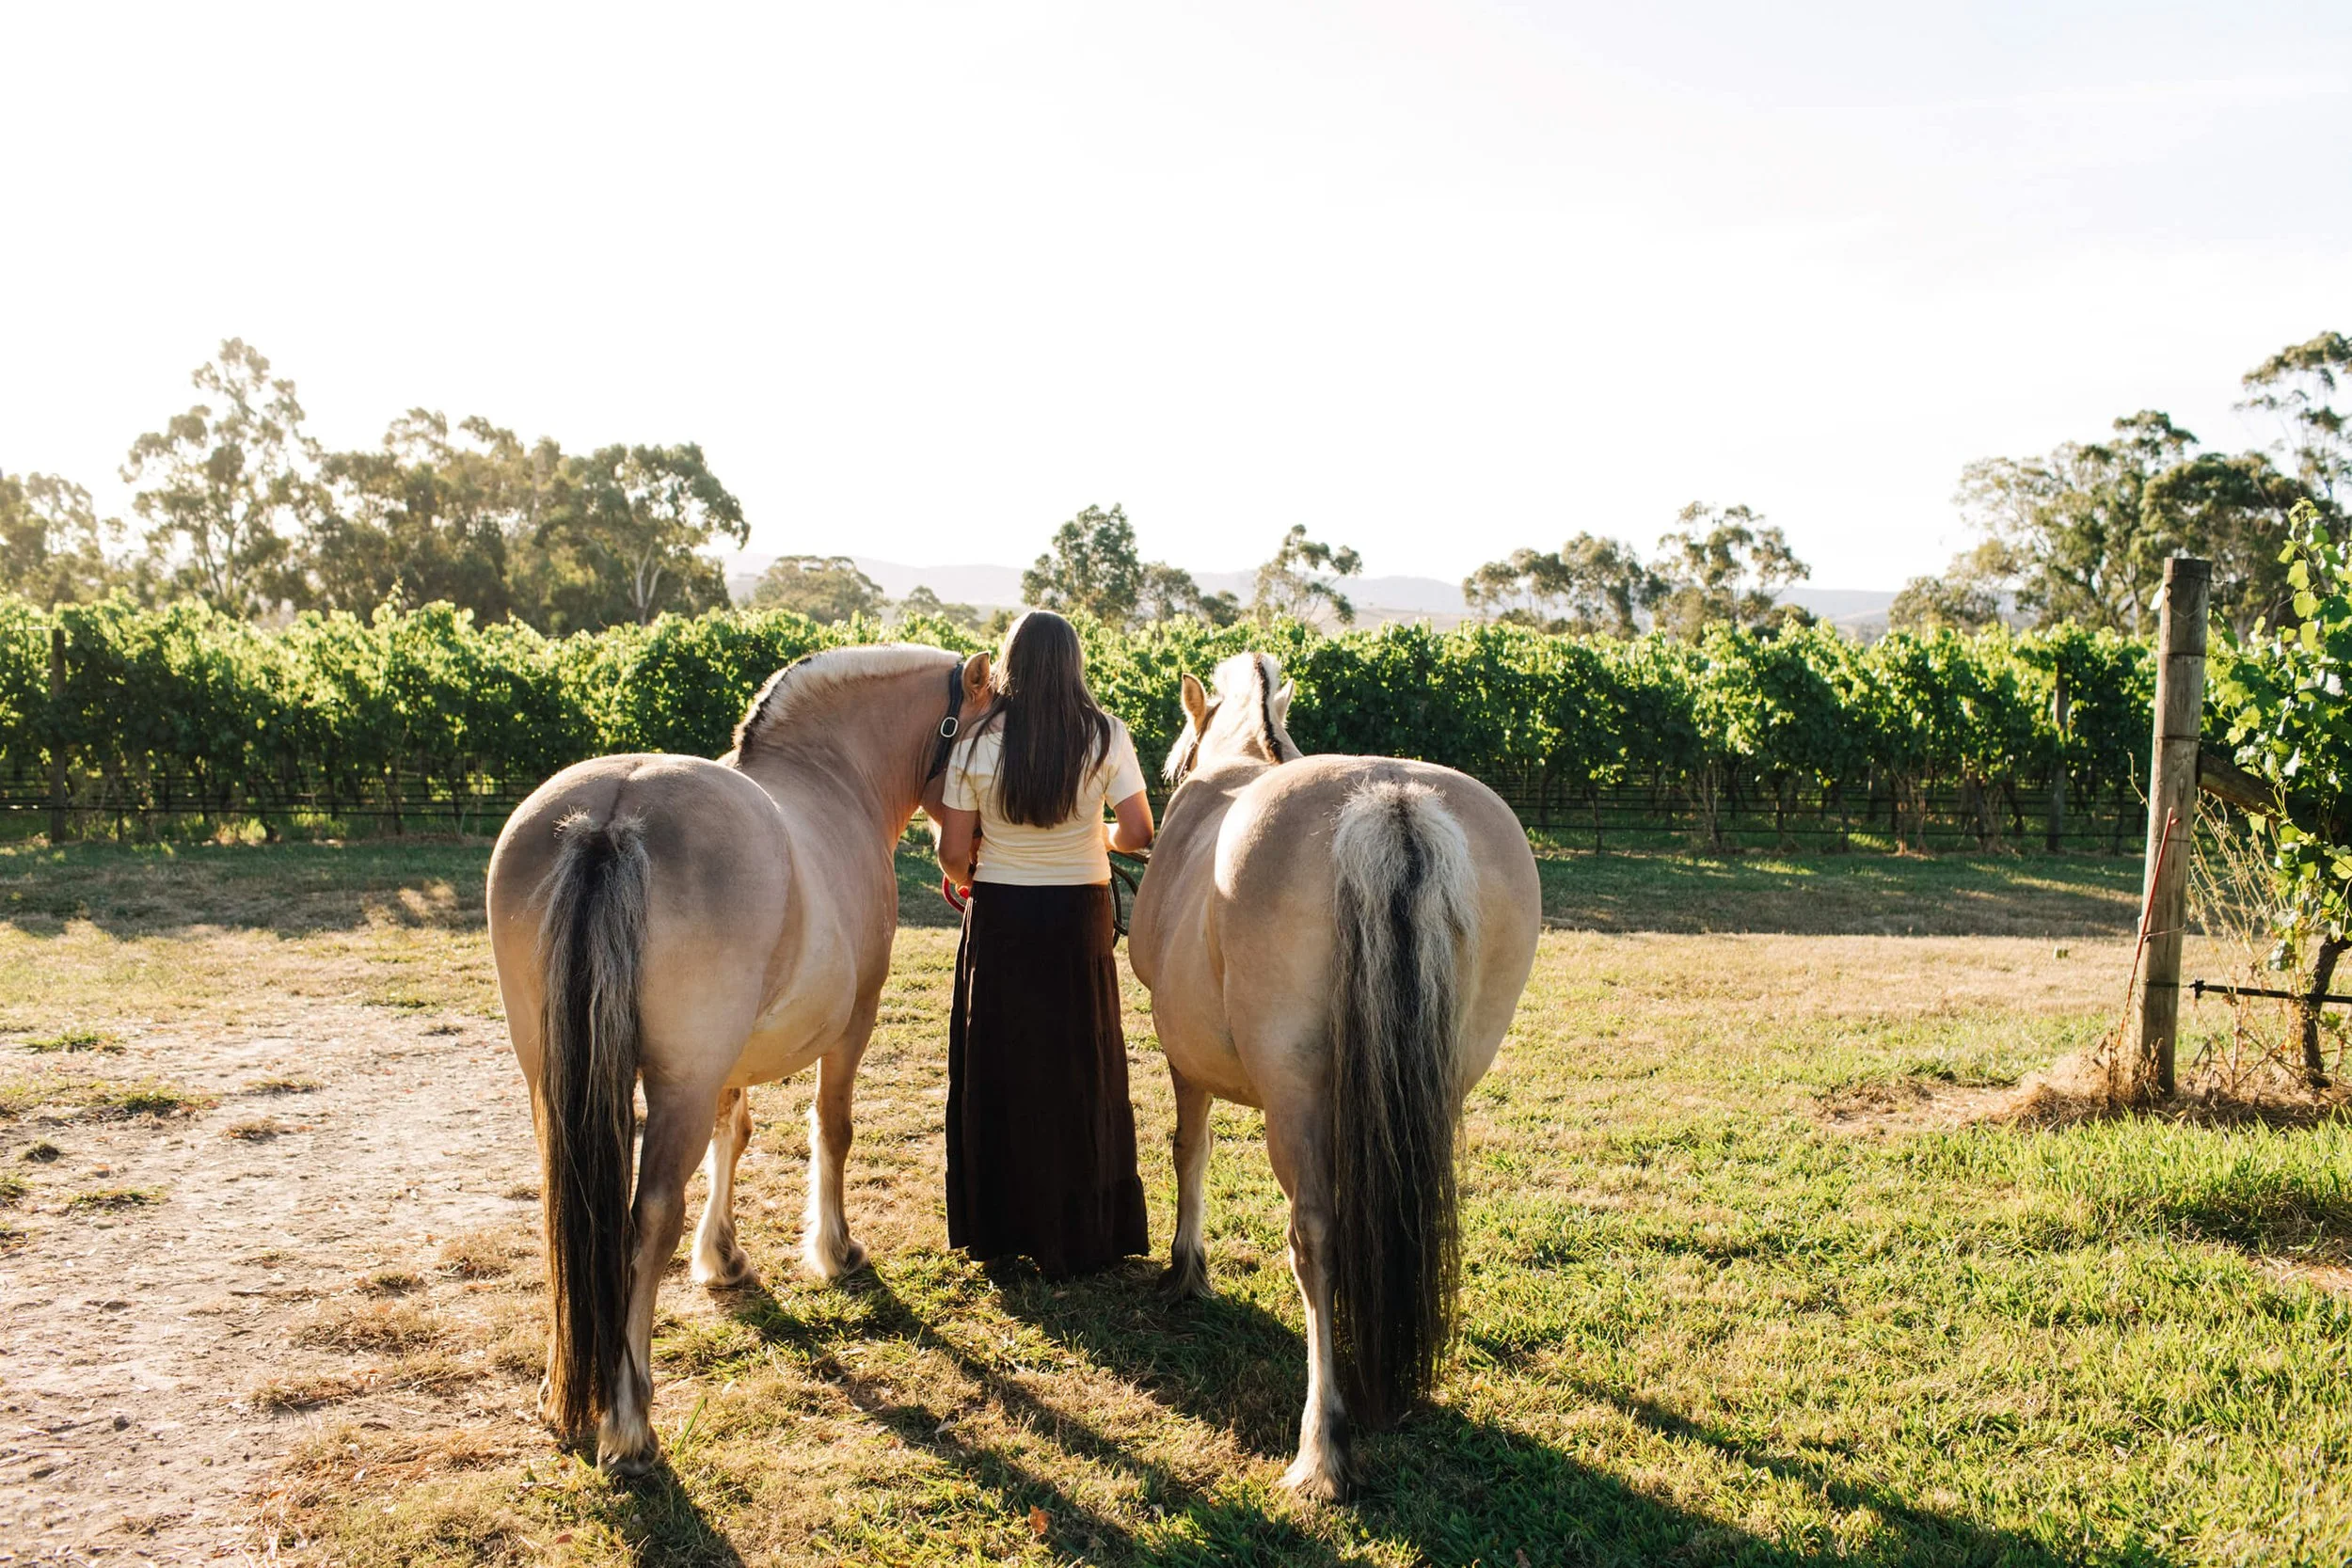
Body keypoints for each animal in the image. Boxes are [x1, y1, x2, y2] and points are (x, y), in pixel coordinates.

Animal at [485, 643, 991, 1474]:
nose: (971, 862)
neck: (829, 775)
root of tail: (610, 816)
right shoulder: (853, 1023)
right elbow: (833, 1130)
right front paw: (835, 1249)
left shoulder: (726, 1064)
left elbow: (736, 1133)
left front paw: (723, 1256)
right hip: (676, 1088)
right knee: (648, 1216)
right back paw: (628, 1422)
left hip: (552, 1085)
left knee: (573, 1208)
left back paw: (563, 1393)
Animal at [1126, 651, 1541, 1499]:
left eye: (1174, 763)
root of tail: (1392, 801)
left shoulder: (1183, 1057)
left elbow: (1190, 1153)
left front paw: (1186, 1268)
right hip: (1438, 1089)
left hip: (1295, 1102)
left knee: (1314, 1234)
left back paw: (1322, 1446)